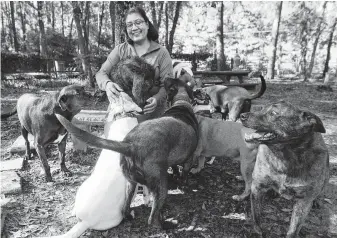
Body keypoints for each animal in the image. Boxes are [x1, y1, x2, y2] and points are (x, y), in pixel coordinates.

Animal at [54, 77, 197, 229]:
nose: (115, 86)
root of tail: (130, 145)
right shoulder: (189, 158)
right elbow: (184, 173)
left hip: (129, 183)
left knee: (125, 208)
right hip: (159, 185)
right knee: (152, 218)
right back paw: (167, 224)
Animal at [240, 101, 330, 238]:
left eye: (273, 113)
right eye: (261, 108)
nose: (242, 115)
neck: (283, 157)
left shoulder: (303, 202)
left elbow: (293, 229)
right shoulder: (257, 187)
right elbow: (256, 215)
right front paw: (257, 231)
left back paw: (317, 200)